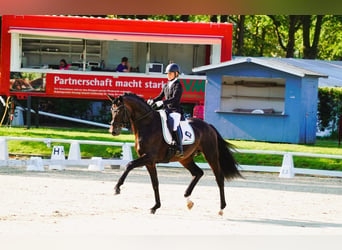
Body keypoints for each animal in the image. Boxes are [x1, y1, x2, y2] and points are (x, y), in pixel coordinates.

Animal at [108, 93, 242, 214]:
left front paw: (116, 188)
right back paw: (188, 198)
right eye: (111, 110)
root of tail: (208, 126)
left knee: (219, 177)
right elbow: (155, 183)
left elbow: (129, 165)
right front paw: (155, 207)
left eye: (119, 111)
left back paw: (221, 208)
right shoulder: (149, 161)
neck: (147, 124)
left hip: (211, 155)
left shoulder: (149, 157)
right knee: (198, 173)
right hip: (185, 159)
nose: (113, 131)